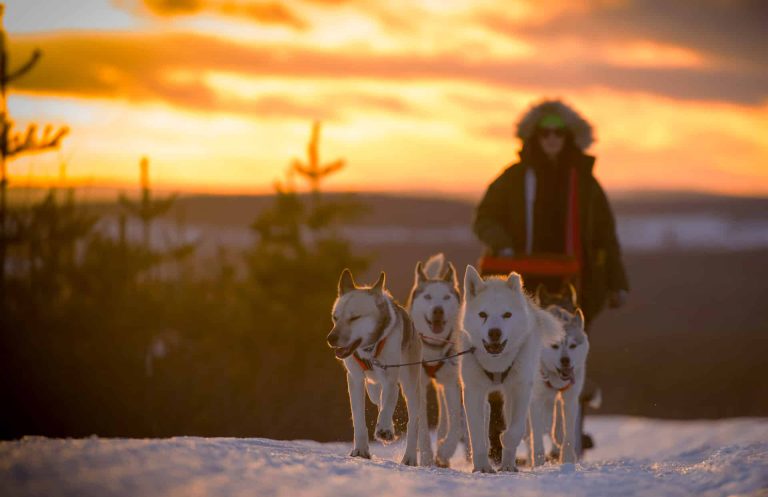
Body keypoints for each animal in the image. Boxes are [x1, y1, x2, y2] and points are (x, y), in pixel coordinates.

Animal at [324, 268, 432, 464]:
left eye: (354, 317)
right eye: (335, 317)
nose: (331, 338)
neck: (370, 350)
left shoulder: (390, 377)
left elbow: (388, 403)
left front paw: (384, 429)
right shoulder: (355, 379)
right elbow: (359, 417)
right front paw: (360, 450)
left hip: (410, 385)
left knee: (412, 420)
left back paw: (409, 456)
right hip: (374, 386)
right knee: (378, 397)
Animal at [460, 266, 560, 470]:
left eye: (507, 314)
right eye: (482, 314)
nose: (494, 332)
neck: (496, 363)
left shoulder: (520, 389)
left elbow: (516, 430)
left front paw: (505, 439)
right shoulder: (473, 391)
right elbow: (476, 434)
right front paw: (482, 467)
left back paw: (508, 465)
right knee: (486, 414)